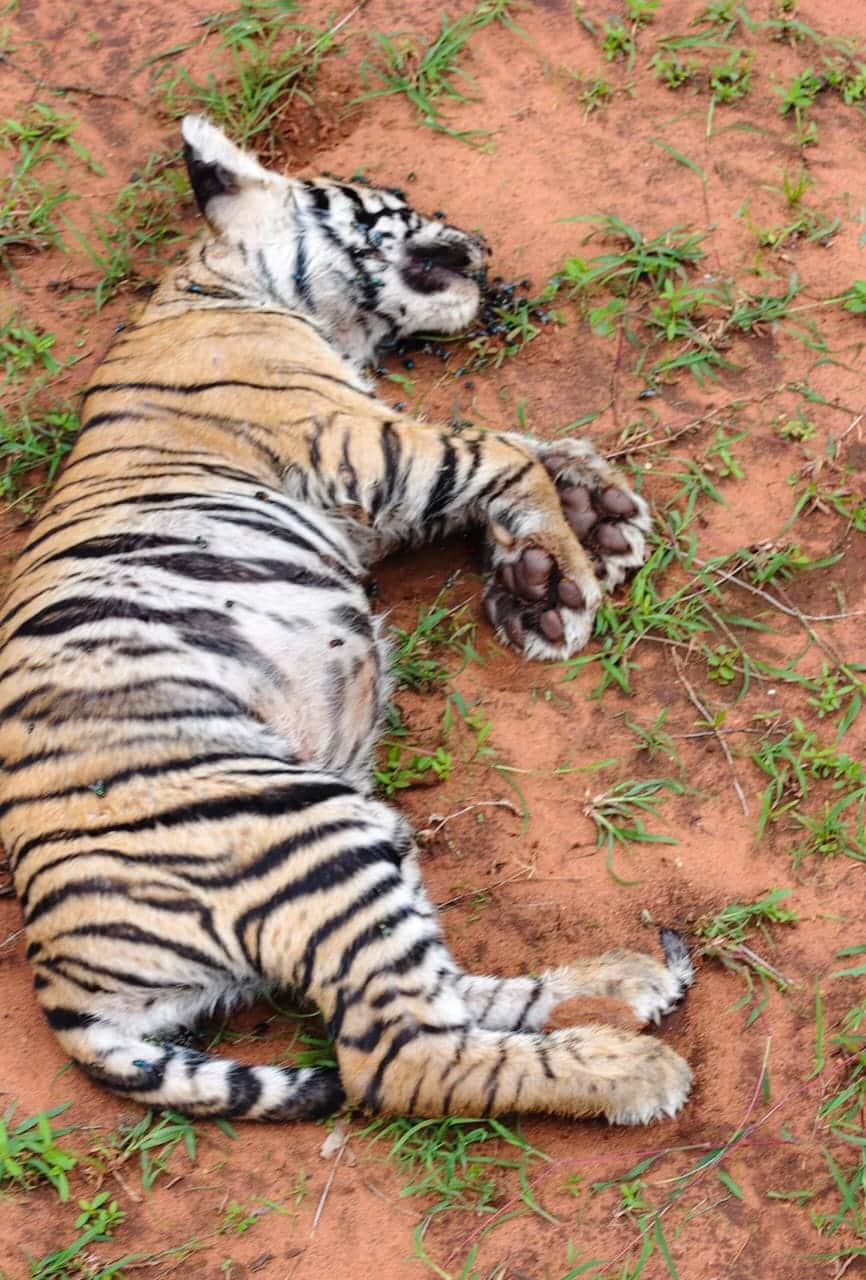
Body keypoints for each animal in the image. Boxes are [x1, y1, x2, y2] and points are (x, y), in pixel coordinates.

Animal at [0, 116, 694, 1126]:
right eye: (394, 200)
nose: (483, 244)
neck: (222, 283)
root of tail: (58, 977)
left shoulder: (370, 480)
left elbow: (521, 453)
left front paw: (591, 520)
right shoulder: (364, 442)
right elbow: (498, 452)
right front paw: (561, 576)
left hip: (358, 841)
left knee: (449, 999)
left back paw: (619, 986)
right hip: (301, 830)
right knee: (400, 1057)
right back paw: (632, 1068)